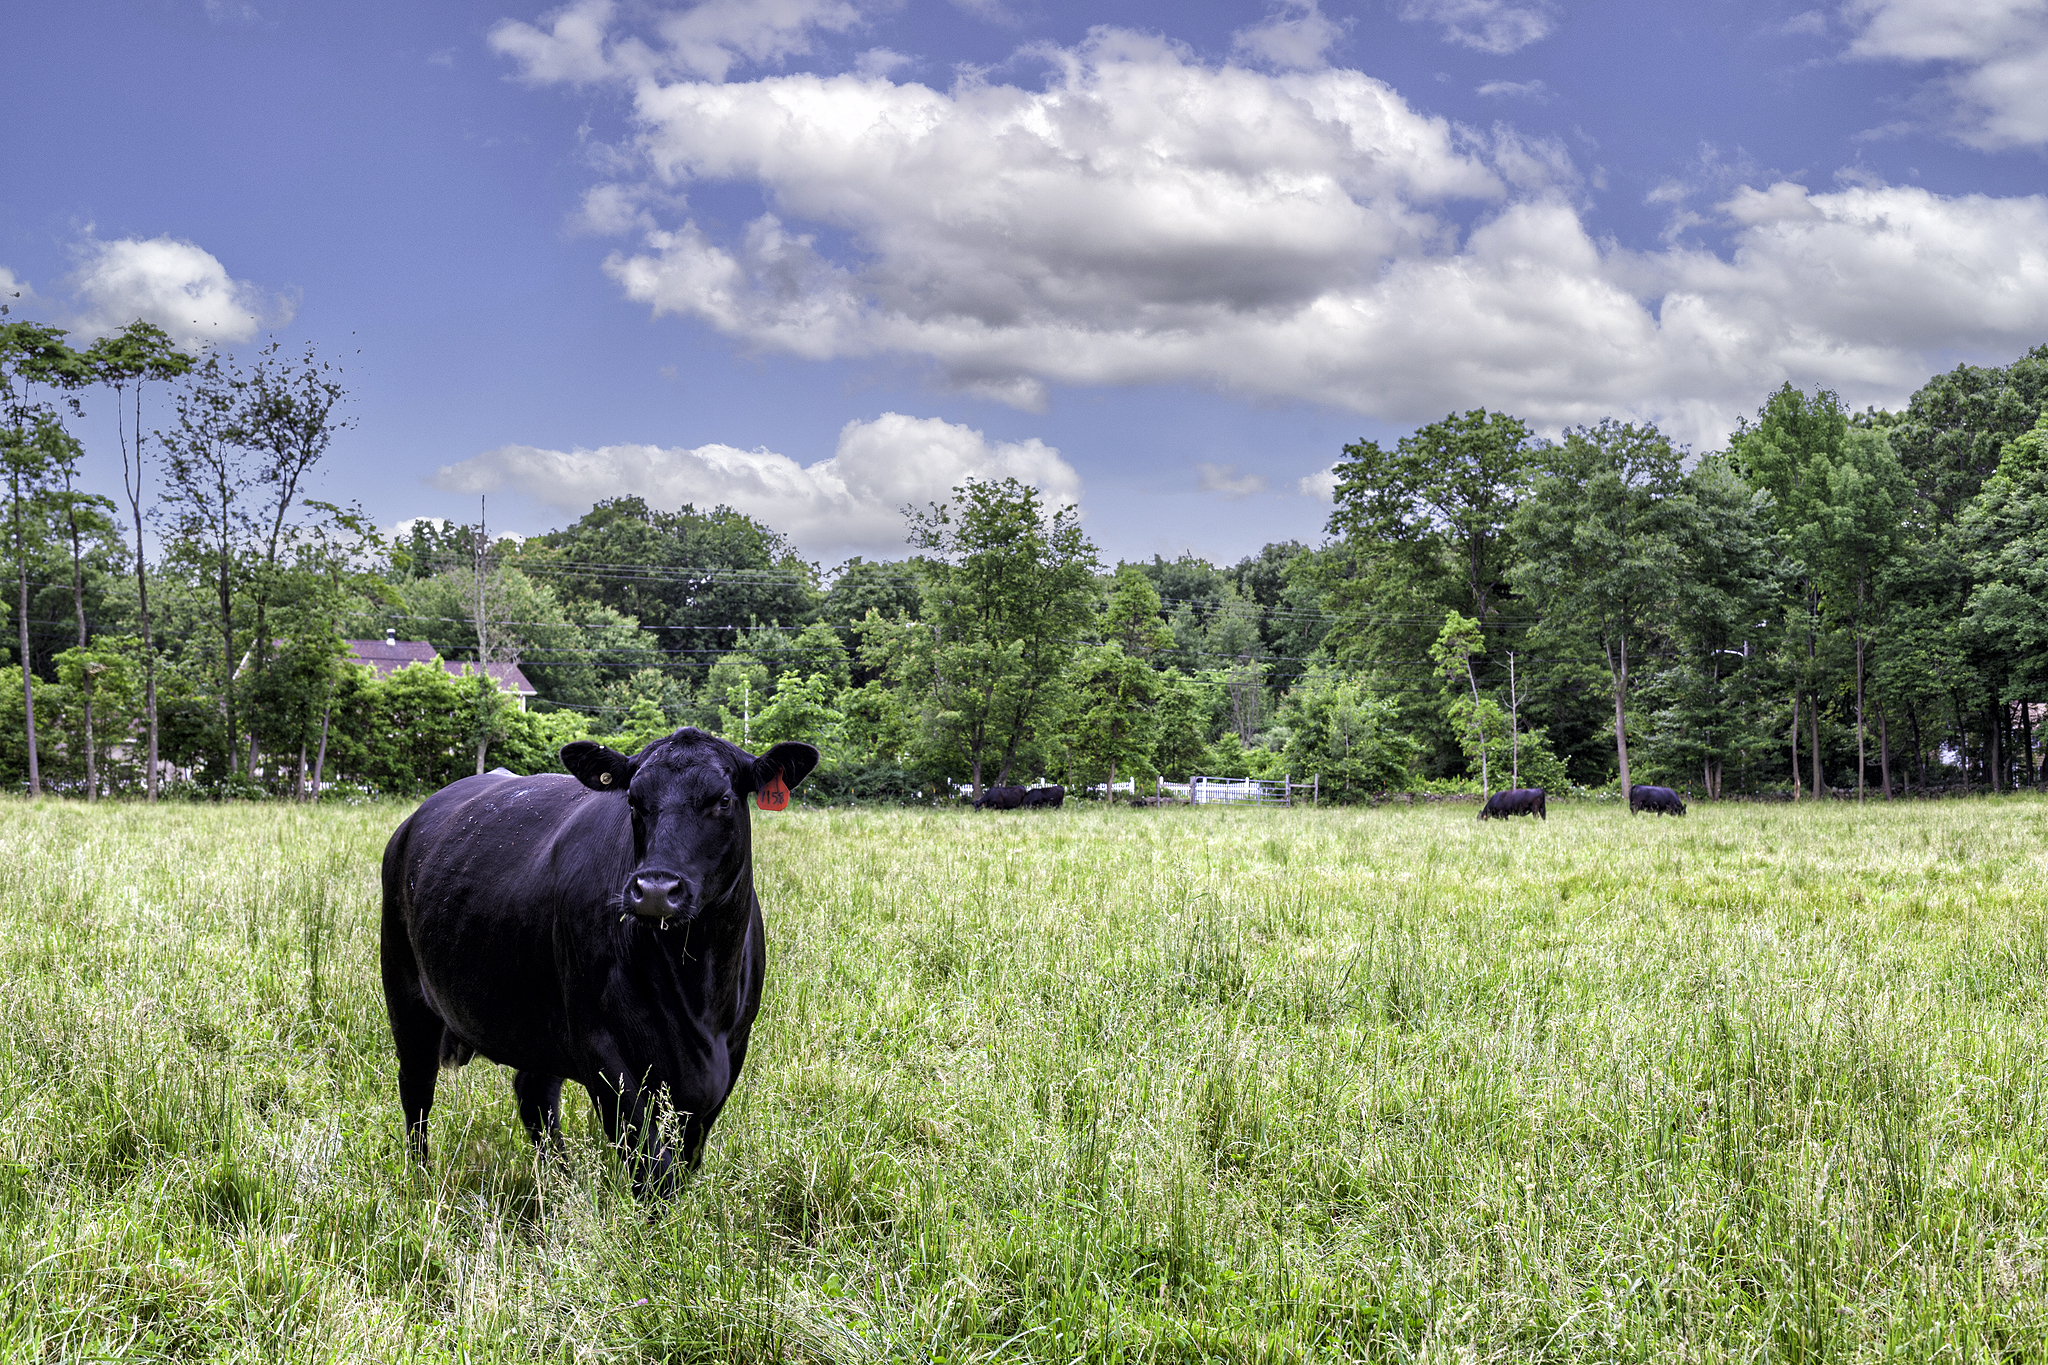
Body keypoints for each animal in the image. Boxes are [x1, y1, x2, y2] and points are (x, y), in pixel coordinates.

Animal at [380, 724, 811, 1195]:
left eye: (724, 799)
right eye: (633, 801)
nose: (655, 890)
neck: (697, 989)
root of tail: (410, 825)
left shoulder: (731, 1053)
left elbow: (683, 1160)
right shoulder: (602, 1048)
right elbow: (651, 1168)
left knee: (534, 1093)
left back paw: (560, 1184)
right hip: (406, 990)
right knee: (417, 1088)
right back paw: (421, 1181)